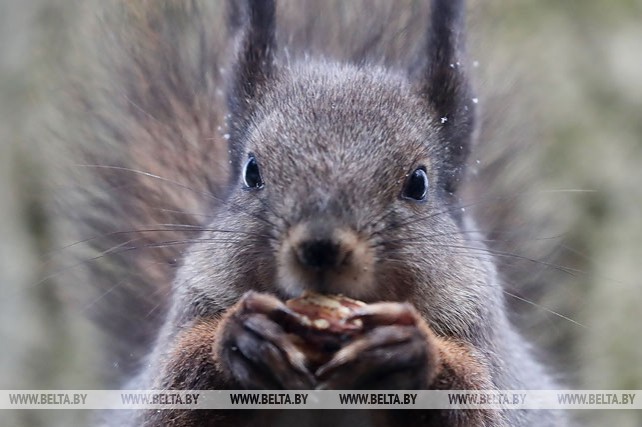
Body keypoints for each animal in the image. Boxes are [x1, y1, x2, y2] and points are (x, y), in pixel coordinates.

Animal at [47, 0, 564, 427]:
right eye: (251, 171)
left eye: (418, 183)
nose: (320, 247)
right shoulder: (192, 309)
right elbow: (167, 401)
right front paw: (242, 337)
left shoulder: (484, 339)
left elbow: (479, 404)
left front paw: (407, 350)